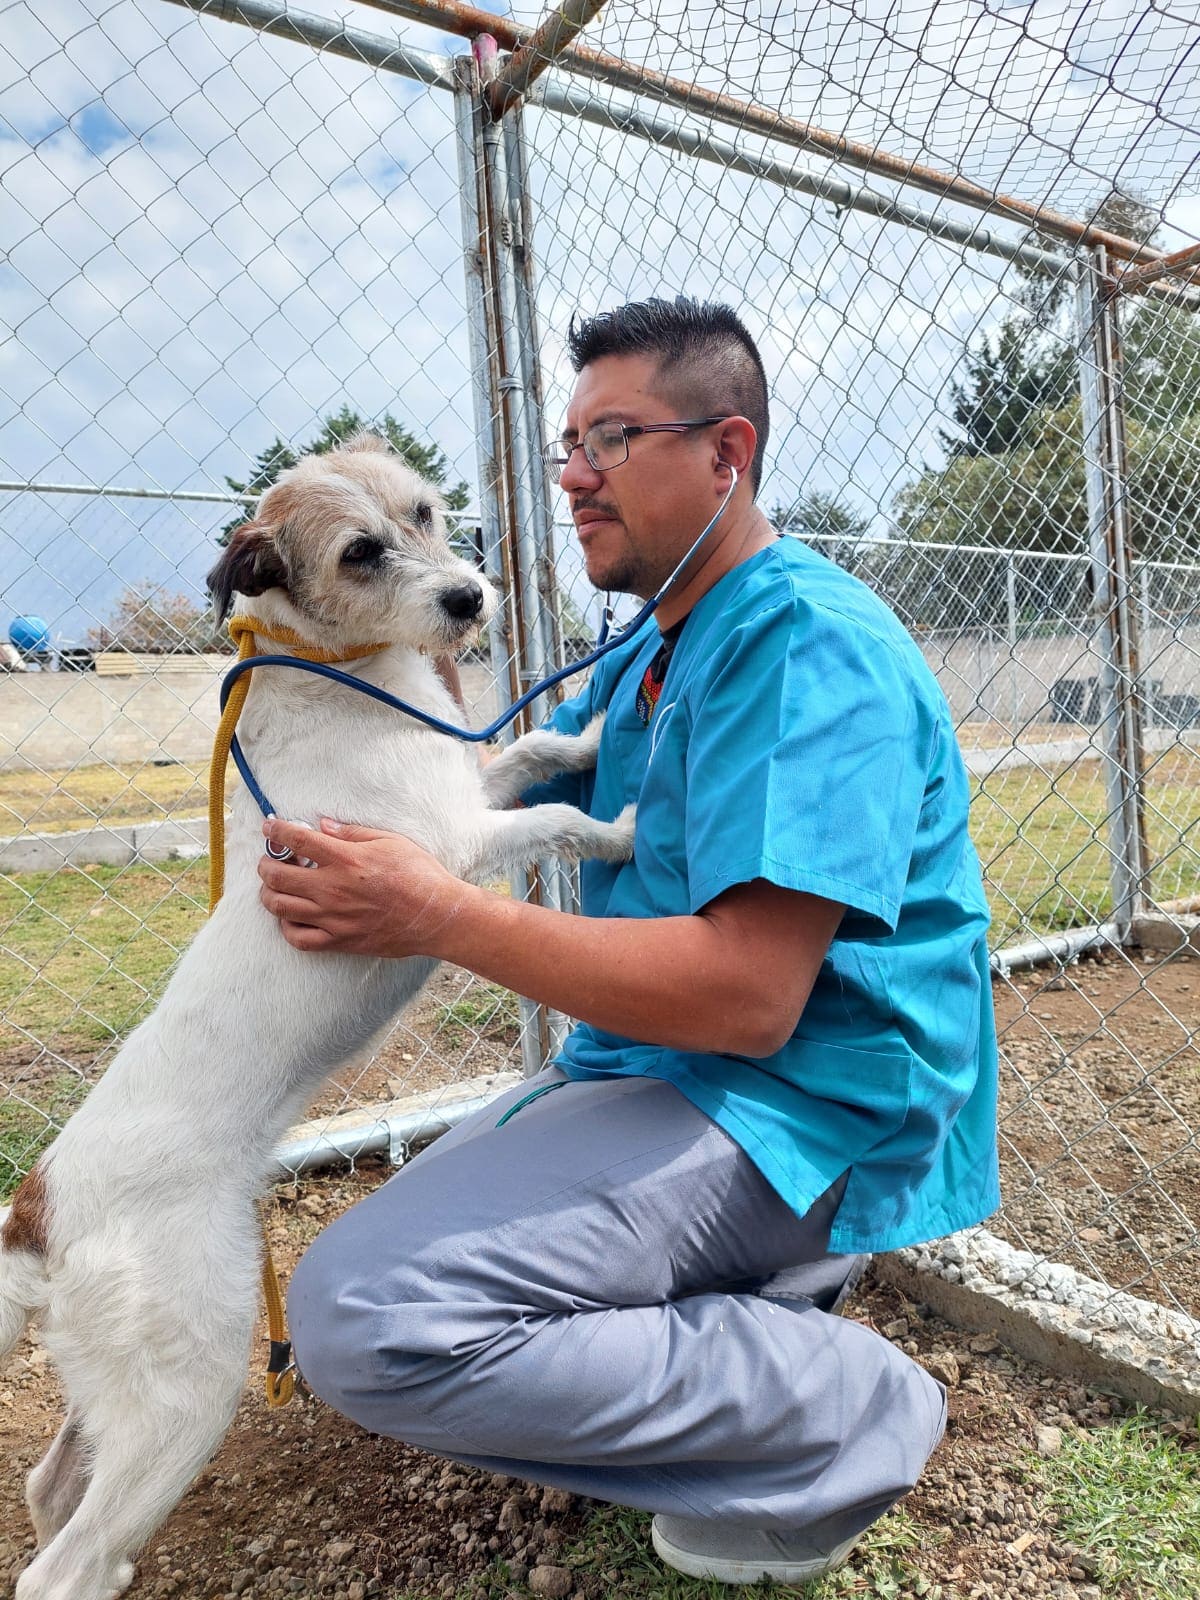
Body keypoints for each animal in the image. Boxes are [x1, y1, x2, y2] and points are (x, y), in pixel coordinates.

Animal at [0, 435, 633, 1600]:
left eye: (425, 512)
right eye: (358, 553)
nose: (469, 597)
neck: (345, 679)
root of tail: (37, 1211)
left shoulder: (471, 794)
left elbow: (526, 755)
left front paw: (592, 730)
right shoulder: (448, 852)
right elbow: (562, 816)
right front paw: (625, 824)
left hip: (115, 1387)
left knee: (48, 1486)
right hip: (189, 1378)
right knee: (63, 1564)